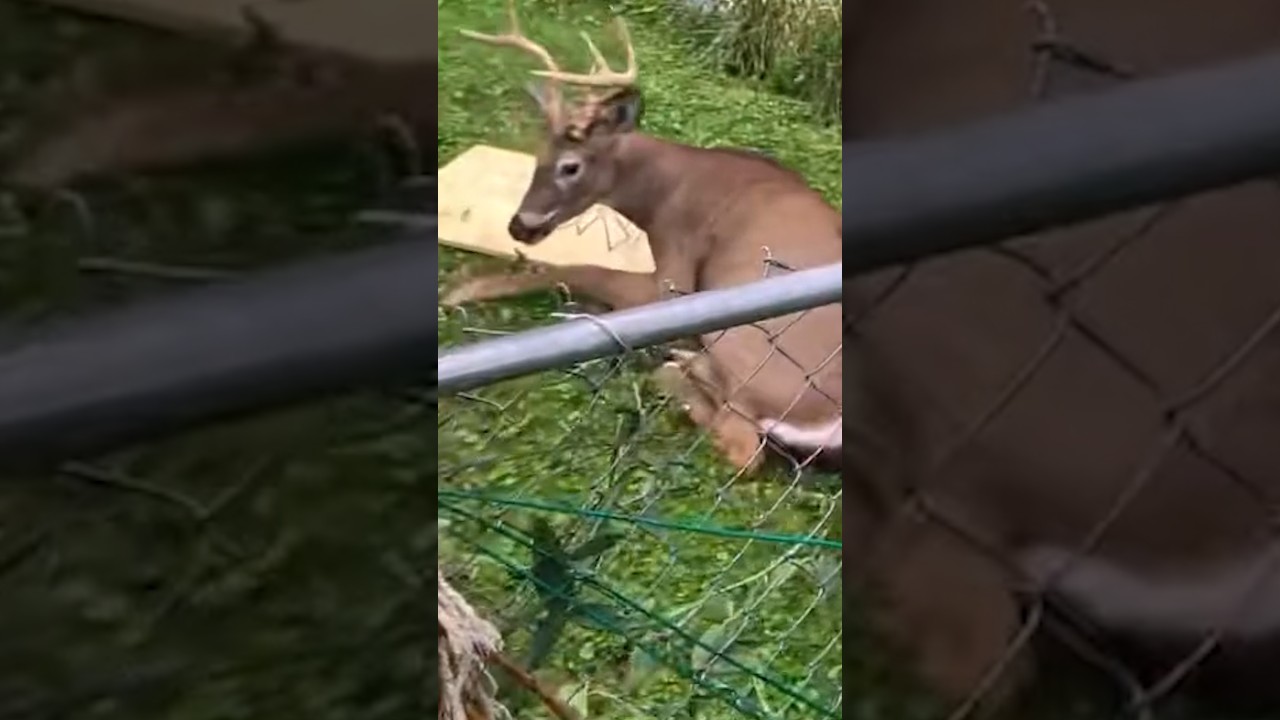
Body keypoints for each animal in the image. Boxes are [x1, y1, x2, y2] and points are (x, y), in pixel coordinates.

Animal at [440, 1, 843, 476]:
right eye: (538, 156)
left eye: (571, 166)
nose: (519, 226)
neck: (665, 192)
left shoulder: (674, 278)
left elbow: (584, 268)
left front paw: (464, 288)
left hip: (750, 349)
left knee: (742, 446)